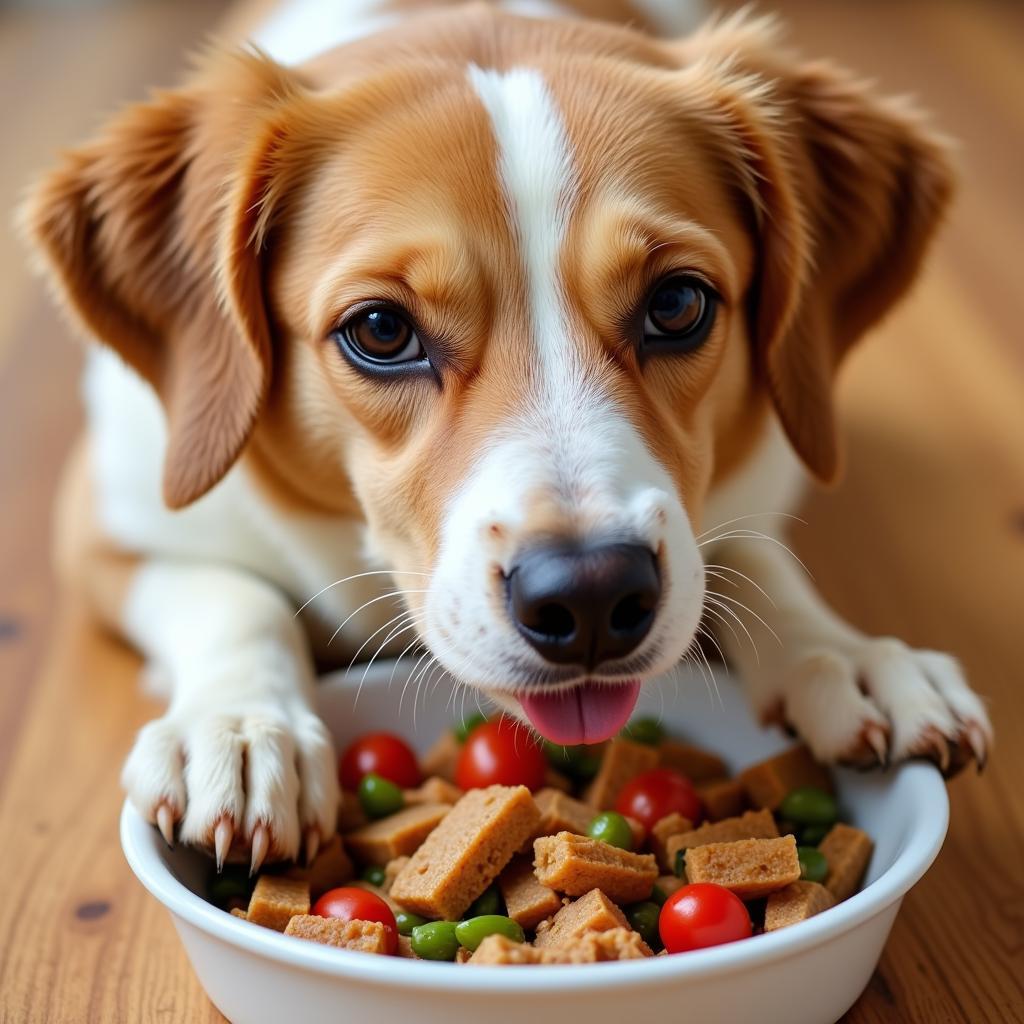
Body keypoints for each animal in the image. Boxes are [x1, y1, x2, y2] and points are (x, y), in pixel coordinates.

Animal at [18, 0, 991, 872]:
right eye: (380, 330)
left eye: (678, 304)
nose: (592, 596)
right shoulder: (105, 518)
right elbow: (234, 598)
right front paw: (243, 729)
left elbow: (755, 556)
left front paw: (848, 656)